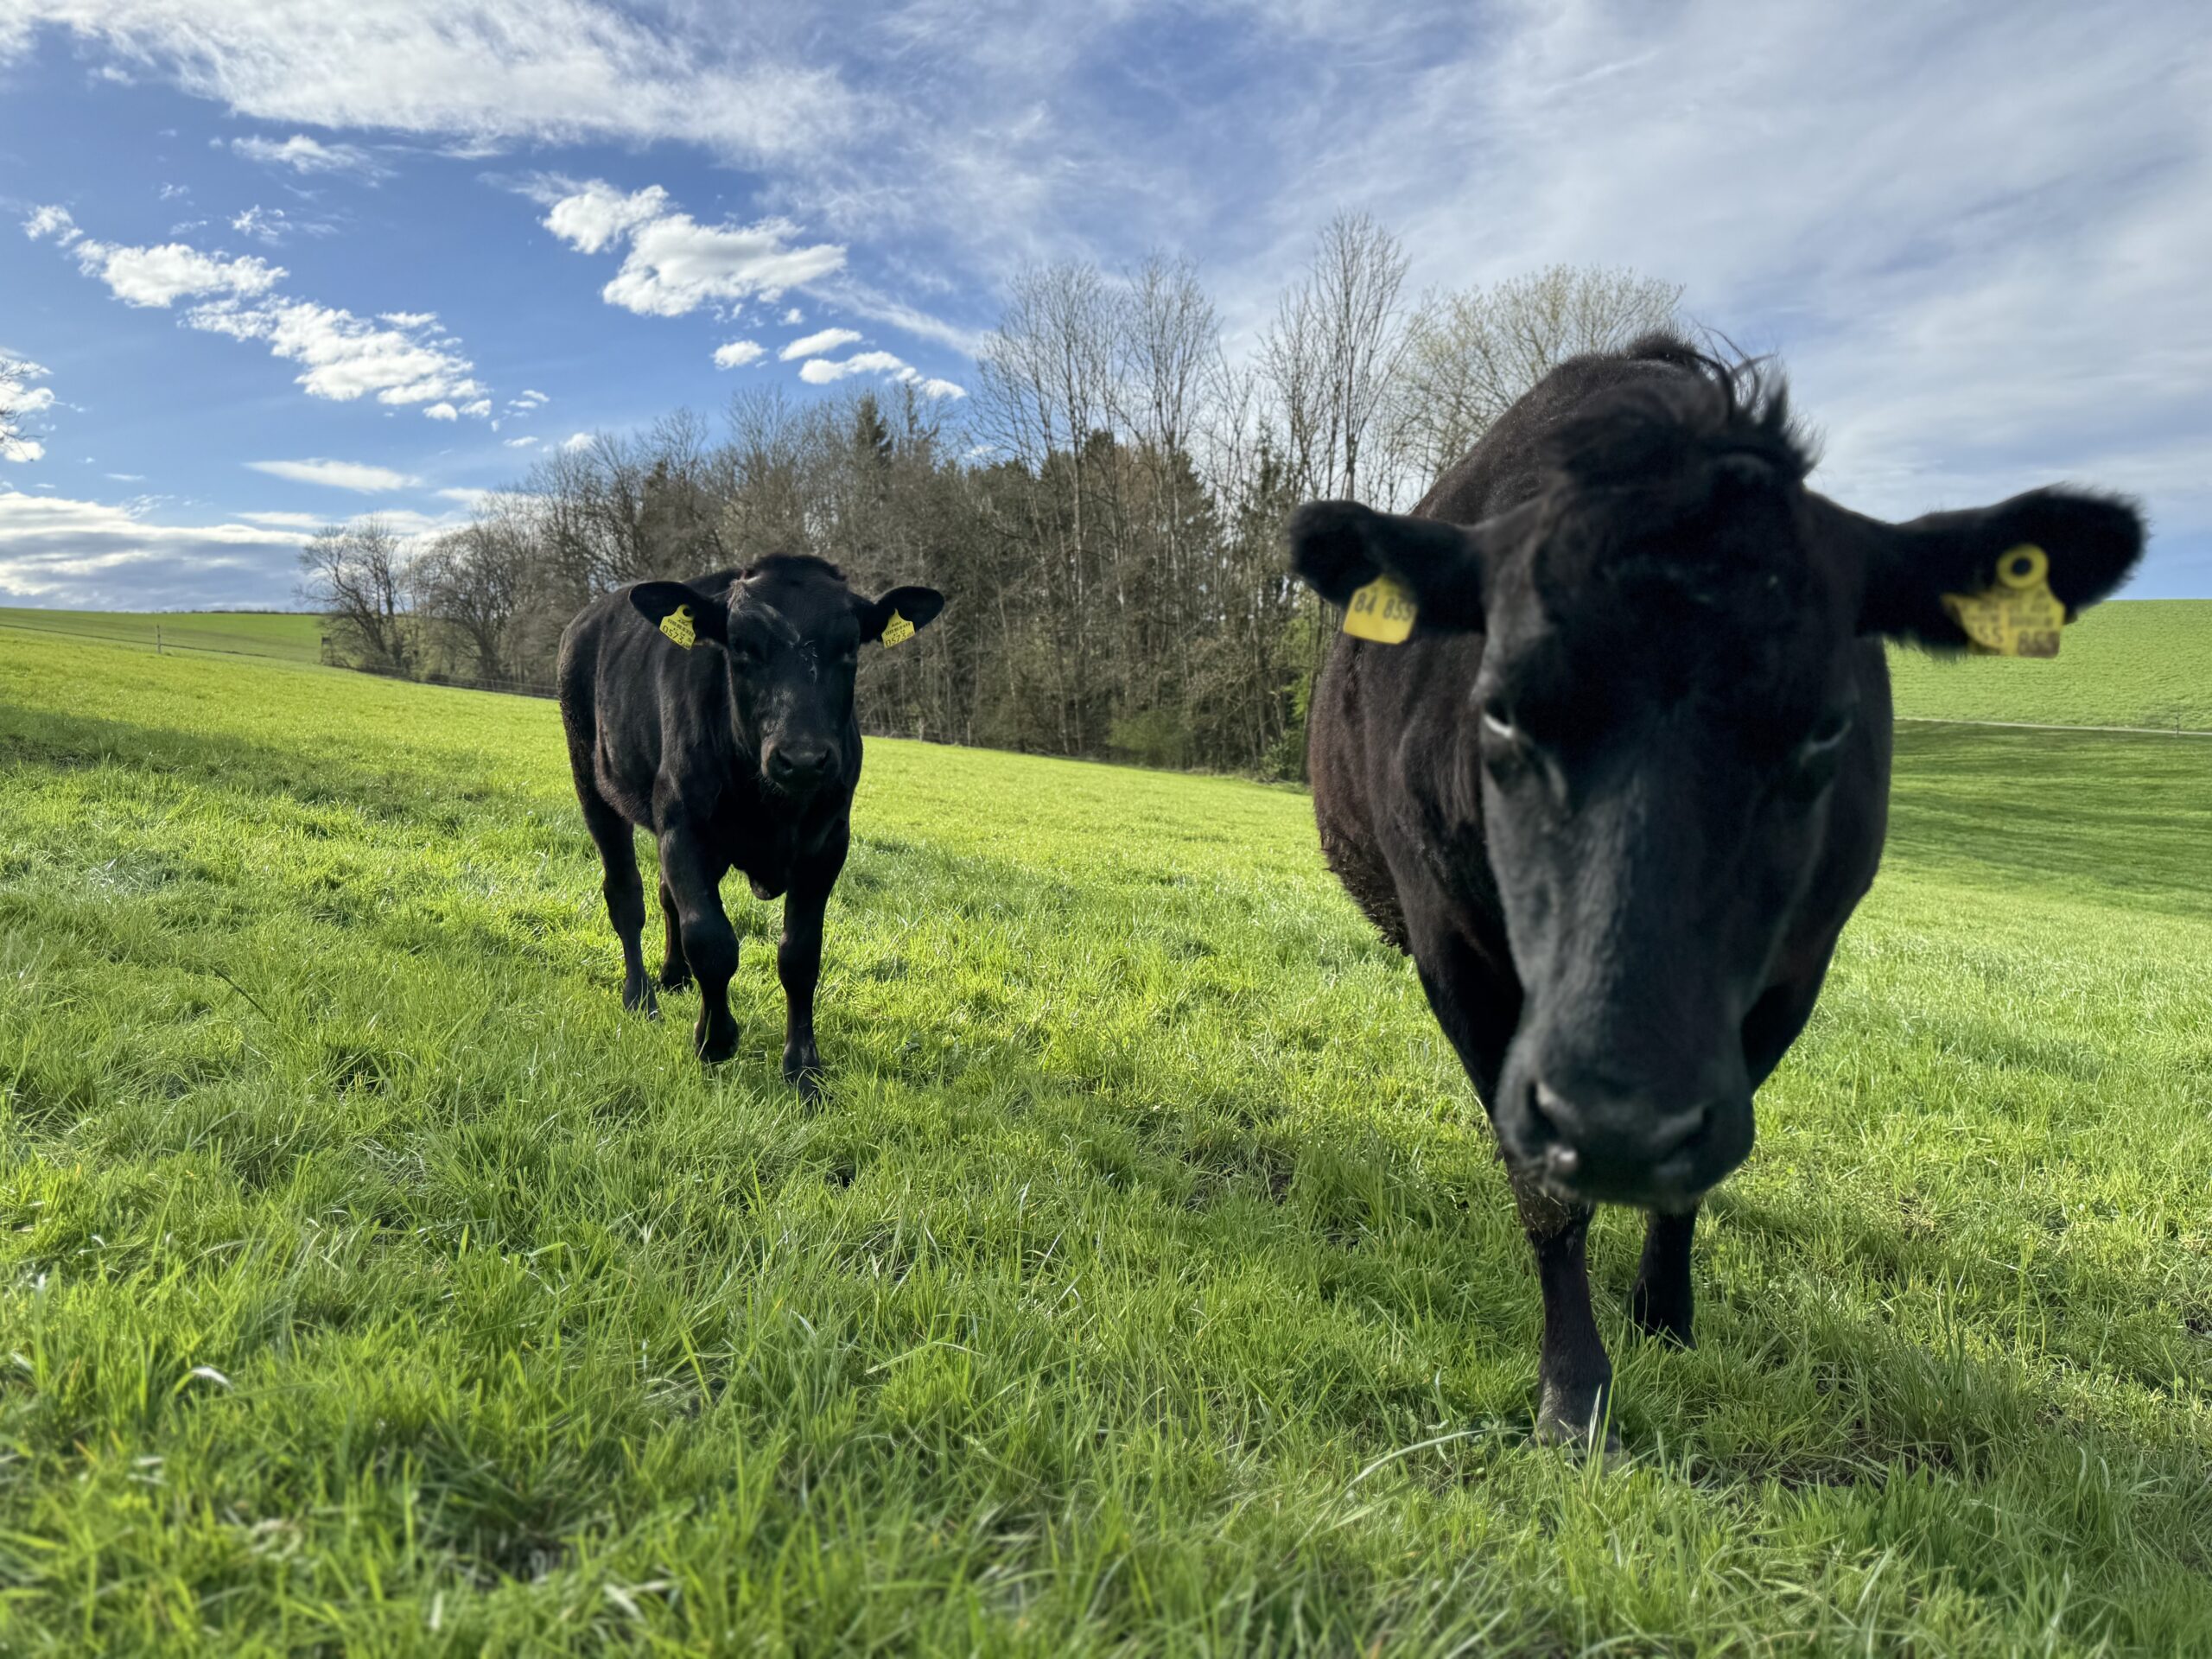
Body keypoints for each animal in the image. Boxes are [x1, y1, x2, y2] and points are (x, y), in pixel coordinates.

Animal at [557, 556, 945, 1093]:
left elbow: (800, 956)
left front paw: (802, 1068)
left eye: (850, 647)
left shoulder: (828, 845)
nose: (802, 759)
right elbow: (713, 941)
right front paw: (715, 1040)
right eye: (740, 645)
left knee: (664, 895)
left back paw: (673, 976)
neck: (772, 808)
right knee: (626, 896)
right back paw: (640, 997)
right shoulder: (682, 827)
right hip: (593, 783)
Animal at [1286, 335, 2142, 1446]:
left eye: (1826, 727)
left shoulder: (1794, 971)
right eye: (1499, 710)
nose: (1617, 1121)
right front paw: (1573, 1390)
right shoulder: (1453, 946)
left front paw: (1665, 1316)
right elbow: (1542, 1190)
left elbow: (1688, 1176)